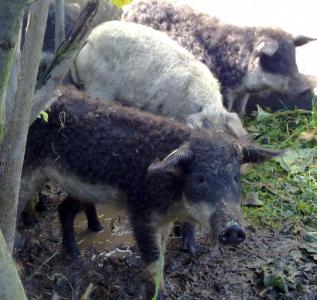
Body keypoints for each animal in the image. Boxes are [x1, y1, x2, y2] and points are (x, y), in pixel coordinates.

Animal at [19, 85, 278, 292]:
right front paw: (160, 292)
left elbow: (163, 250)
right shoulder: (142, 211)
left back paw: (77, 250)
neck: (175, 199)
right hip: (27, 170)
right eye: (200, 178)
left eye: (235, 177)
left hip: (79, 189)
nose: (233, 229)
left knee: (65, 210)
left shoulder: (164, 219)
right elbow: (152, 256)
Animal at [122, 0, 314, 115]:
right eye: (277, 60)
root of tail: (130, 8)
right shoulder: (226, 89)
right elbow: (228, 108)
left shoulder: (243, 92)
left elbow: (241, 108)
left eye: (294, 58)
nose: (306, 88)